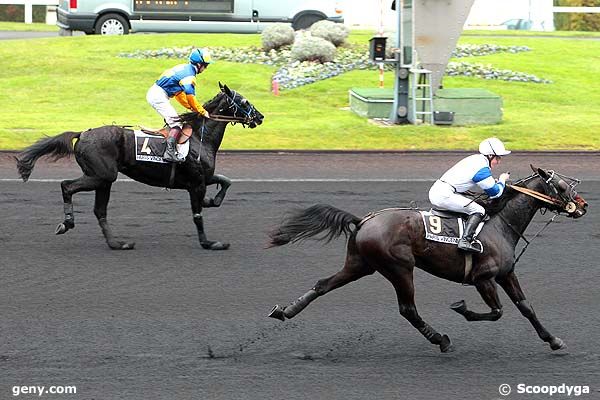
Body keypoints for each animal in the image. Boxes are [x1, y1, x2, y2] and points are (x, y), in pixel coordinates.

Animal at [13, 83, 262, 250]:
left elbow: (226, 181)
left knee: (99, 211)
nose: (260, 117)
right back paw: (67, 223)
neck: (200, 138)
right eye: (244, 101)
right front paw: (209, 242)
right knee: (66, 186)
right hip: (102, 176)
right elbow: (197, 215)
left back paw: (117, 243)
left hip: (103, 180)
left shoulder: (203, 179)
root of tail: (83, 133)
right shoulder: (196, 184)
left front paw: (212, 200)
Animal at [268, 167, 584, 352]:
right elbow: (497, 312)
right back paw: (441, 340)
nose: (583, 205)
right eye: (563, 186)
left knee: (323, 284)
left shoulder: (506, 274)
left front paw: (553, 340)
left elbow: (525, 307)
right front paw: (461, 308)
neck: (498, 222)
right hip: (399, 268)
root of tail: (362, 220)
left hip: (361, 265)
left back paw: (285, 311)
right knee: (408, 309)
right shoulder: (483, 278)